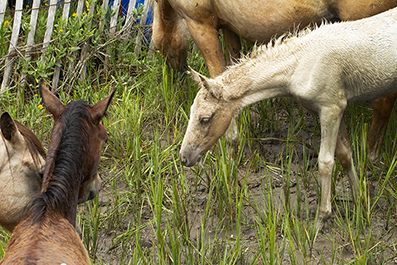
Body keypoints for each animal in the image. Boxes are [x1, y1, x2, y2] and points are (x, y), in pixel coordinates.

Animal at [153, 0, 396, 163]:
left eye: (203, 119)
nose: (175, 73)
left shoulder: (200, 24)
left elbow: (218, 80)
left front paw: (231, 151)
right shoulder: (230, 28)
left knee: (383, 101)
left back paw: (370, 156)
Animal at [180, 7, 397, 221]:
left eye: (205, 119)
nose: (184, 158)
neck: (300, 63)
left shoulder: (331, 107)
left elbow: (325, 162)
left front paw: (322, 217)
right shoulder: (329, 108)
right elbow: (345, 154)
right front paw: (360, 200)